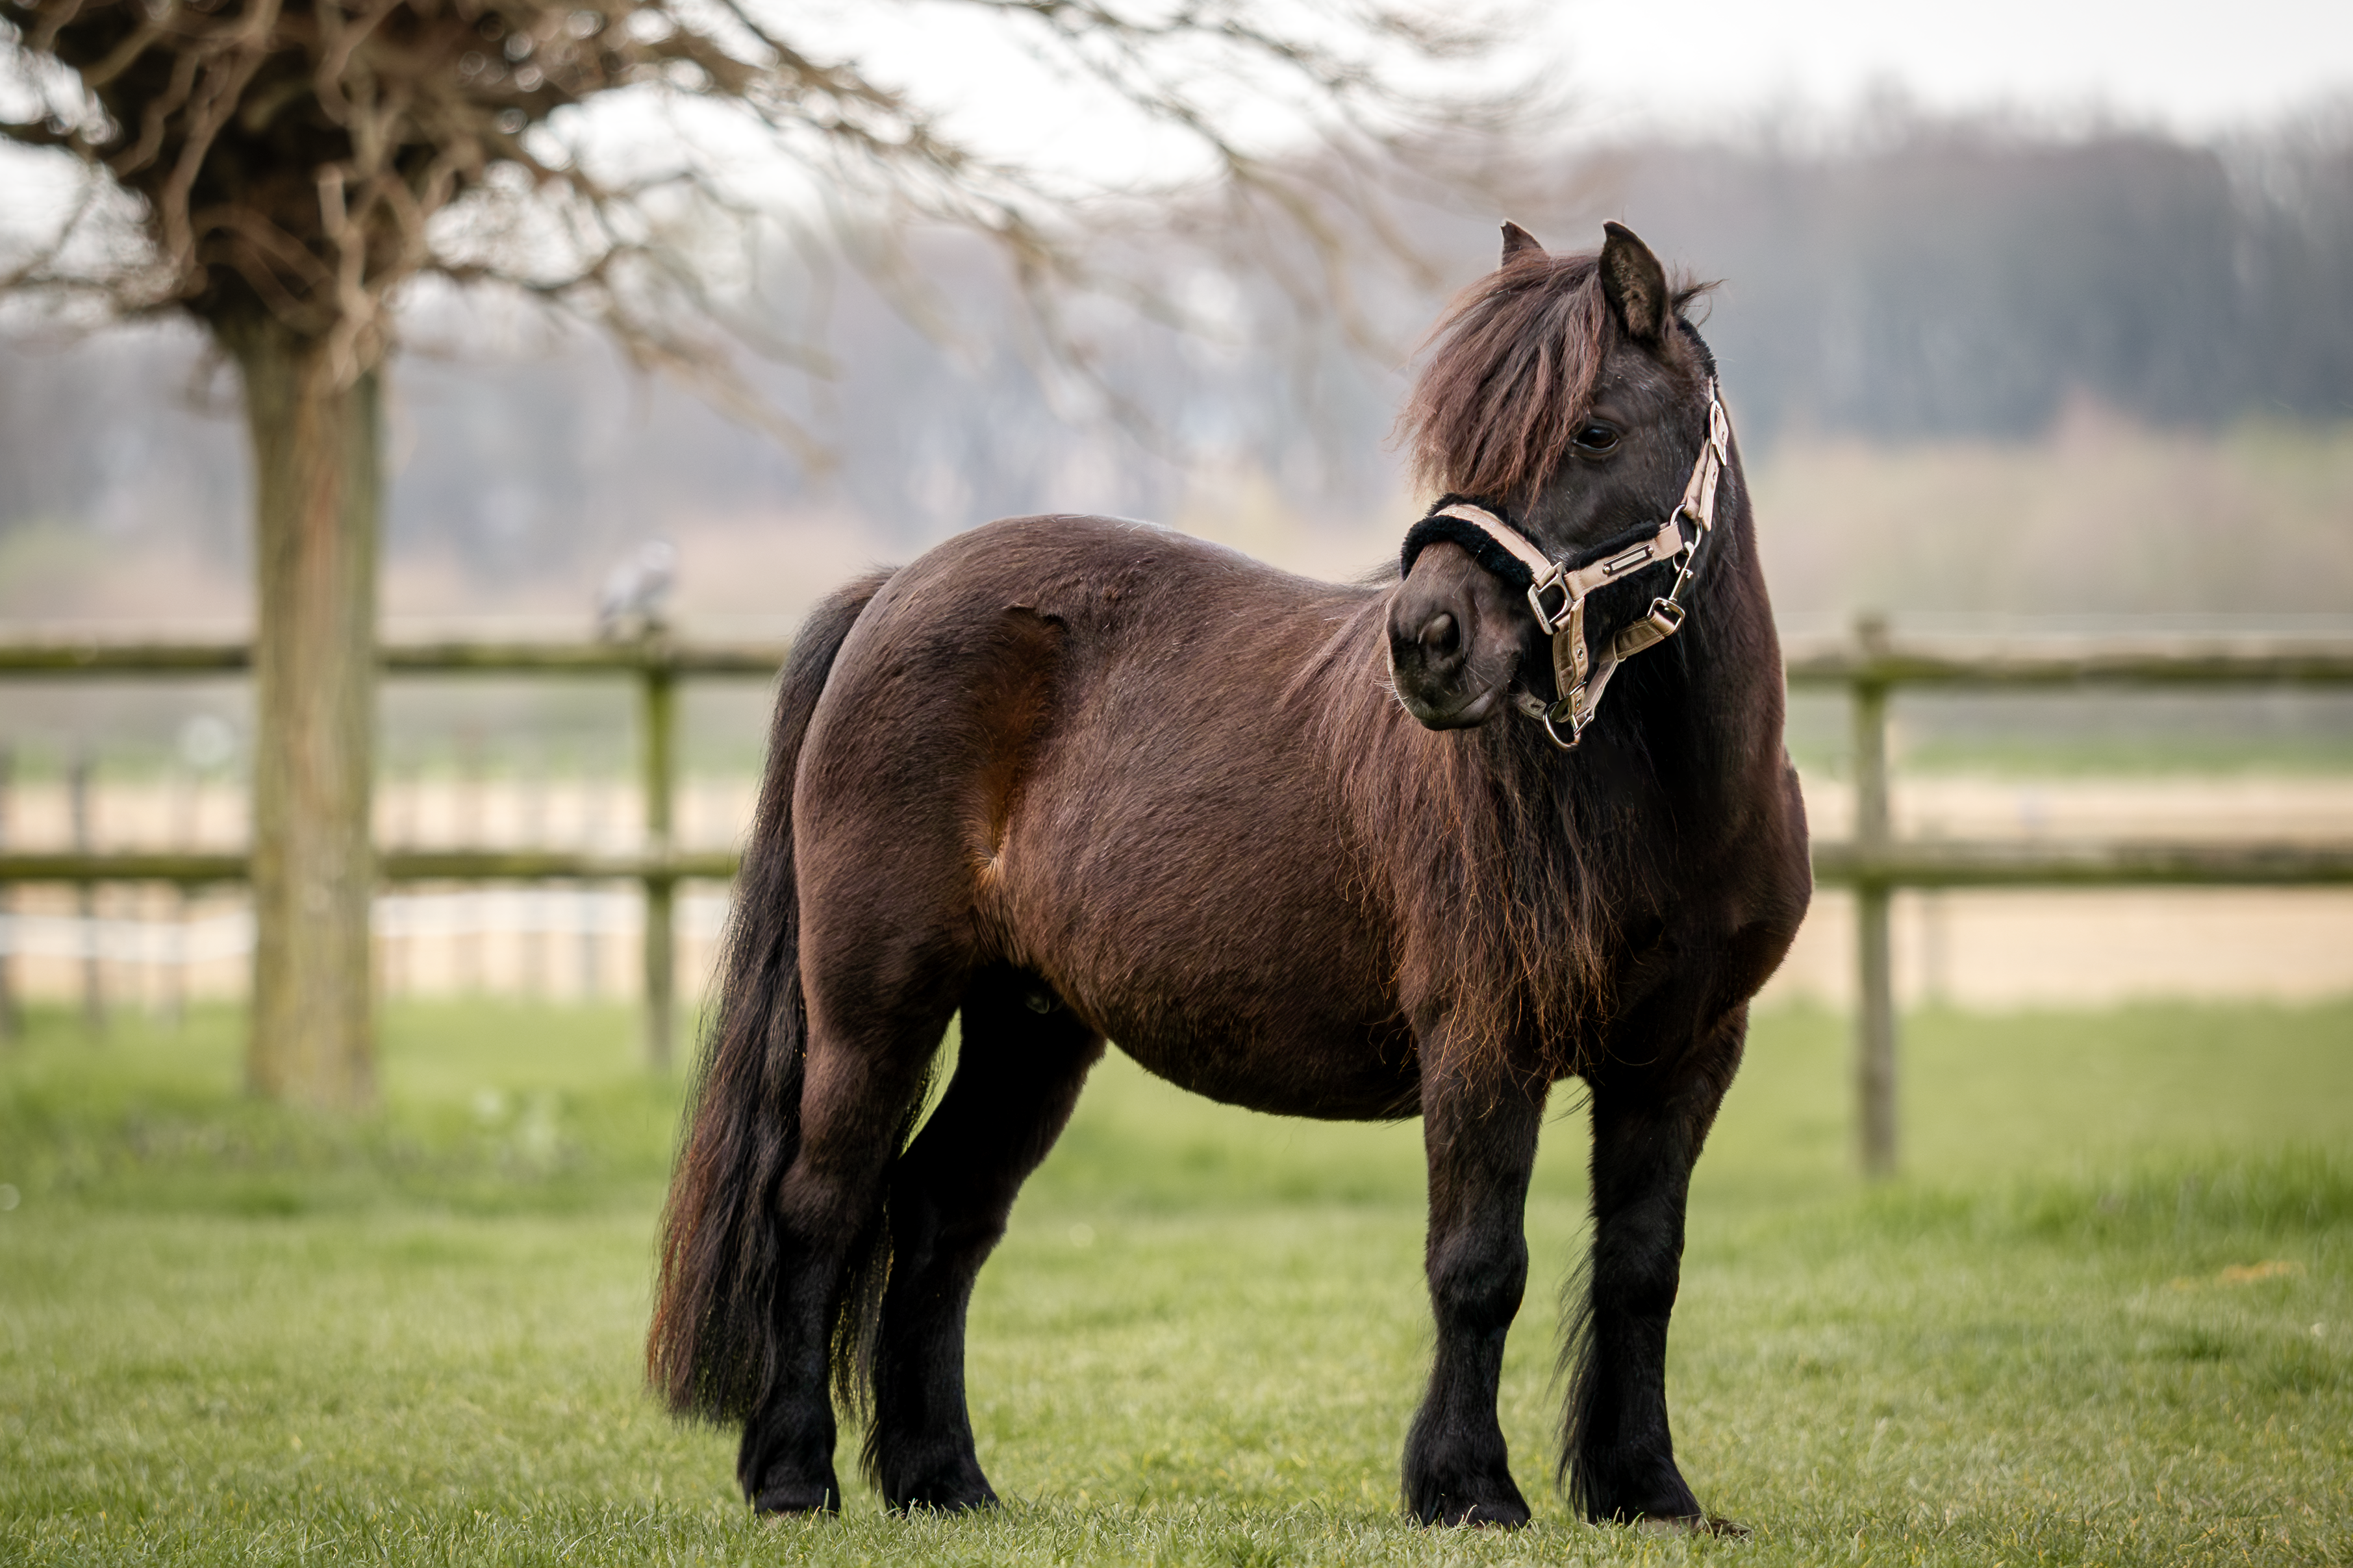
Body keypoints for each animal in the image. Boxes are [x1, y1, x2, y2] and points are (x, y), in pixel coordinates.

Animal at [647, 220, 1812, 1531]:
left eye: (1595, 432)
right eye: (1458, 443)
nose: (1424, 640)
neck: (1664, 806)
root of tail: (891, 589)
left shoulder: (1685, 1057)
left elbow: (1641, 1269)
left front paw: (1648, 1488)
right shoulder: (1481, 1038)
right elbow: (1478, 1265)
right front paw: (1467, 1487)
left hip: (1029, 1024)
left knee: (940, 1213)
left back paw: (944, 1478)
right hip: (874, 1007)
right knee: (820, 1205)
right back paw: (794, 1473)